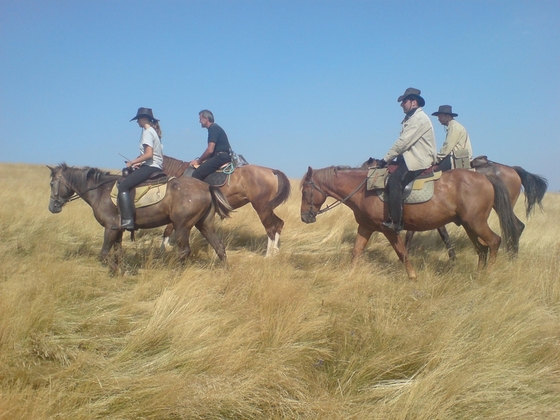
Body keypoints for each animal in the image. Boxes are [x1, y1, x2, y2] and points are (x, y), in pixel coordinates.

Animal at [47, 162, 232, 274]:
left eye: (51, 183)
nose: (52, 207)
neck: (100, 191)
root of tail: (207, 186)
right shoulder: (118, 229)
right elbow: (118, 253)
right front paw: (121, 270)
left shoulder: (110, 228)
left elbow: (104, 254)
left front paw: (119, 272)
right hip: (204, 224)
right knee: (219, 246)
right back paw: (225, 271)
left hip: (182, 226)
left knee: (184, 251)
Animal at [160, 155, 290, 256]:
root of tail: (271, 171)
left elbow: (168, 229)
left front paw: (163, 248)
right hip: (267, 208)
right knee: (279, 223)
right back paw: (275, 250)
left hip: (261, 208)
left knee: (270, 228)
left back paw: (268, 255)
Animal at [300, 166, 520, 280]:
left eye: (305, 191)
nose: (304, 217)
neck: (364, 190)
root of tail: (485, 176)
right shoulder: (366, 227)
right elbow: (356, 251)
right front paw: (349, 274)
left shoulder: (388, 229)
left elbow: (402, 252)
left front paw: (413, 276)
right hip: (469, 225)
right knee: (482, 249)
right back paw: (478, 274)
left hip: (476, 223)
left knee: (494, 242)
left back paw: (487, 274)